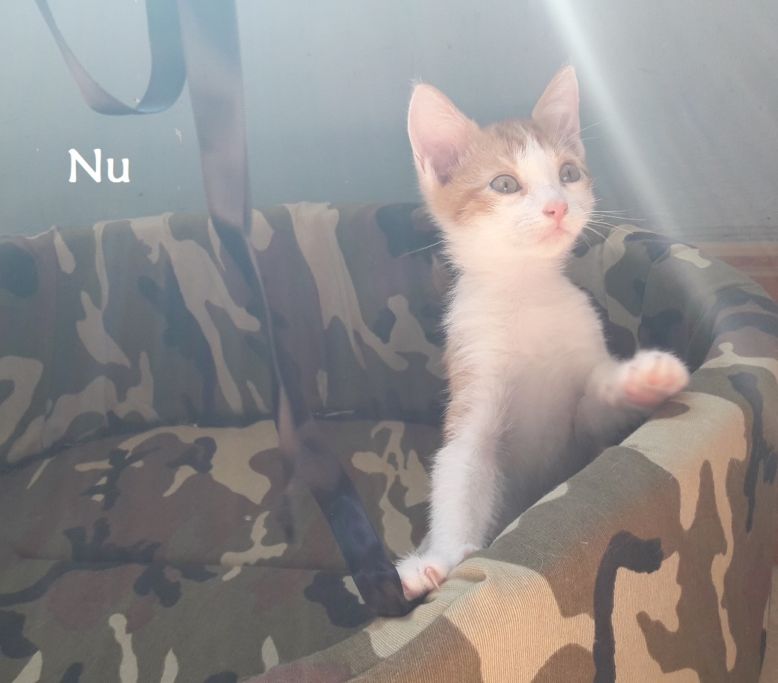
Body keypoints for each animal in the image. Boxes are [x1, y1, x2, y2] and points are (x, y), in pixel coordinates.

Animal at [396, 66, 689, 600]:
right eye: (504, 183)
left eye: (569, 174)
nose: (557, 207)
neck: (527, 293)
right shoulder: (475, 375)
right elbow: (461, 462)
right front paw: (441, 559)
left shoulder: (579, 437)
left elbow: (594, 412)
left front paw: (639, 382)